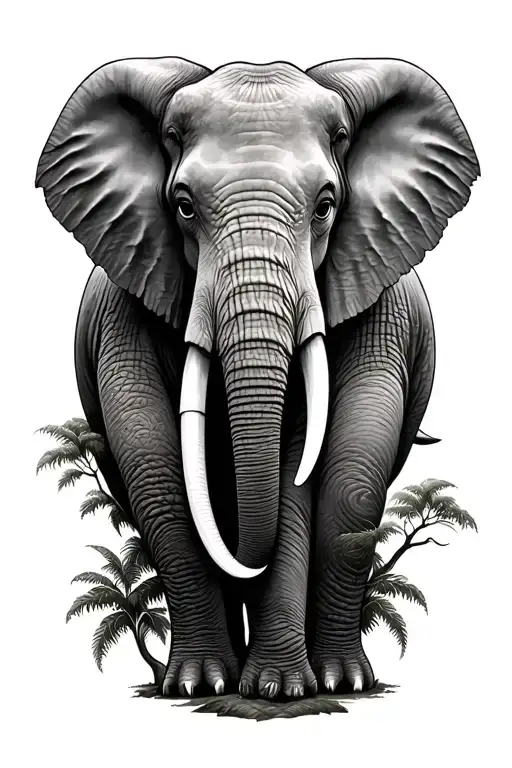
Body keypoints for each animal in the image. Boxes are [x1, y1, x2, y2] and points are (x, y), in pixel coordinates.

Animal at [36, 56, 479, 700]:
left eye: (325, 206)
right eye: (183, 206)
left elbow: (331, 468)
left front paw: (289, 689)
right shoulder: (129, 296)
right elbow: (152, 458)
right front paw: (200, 687)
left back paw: (336, 680)